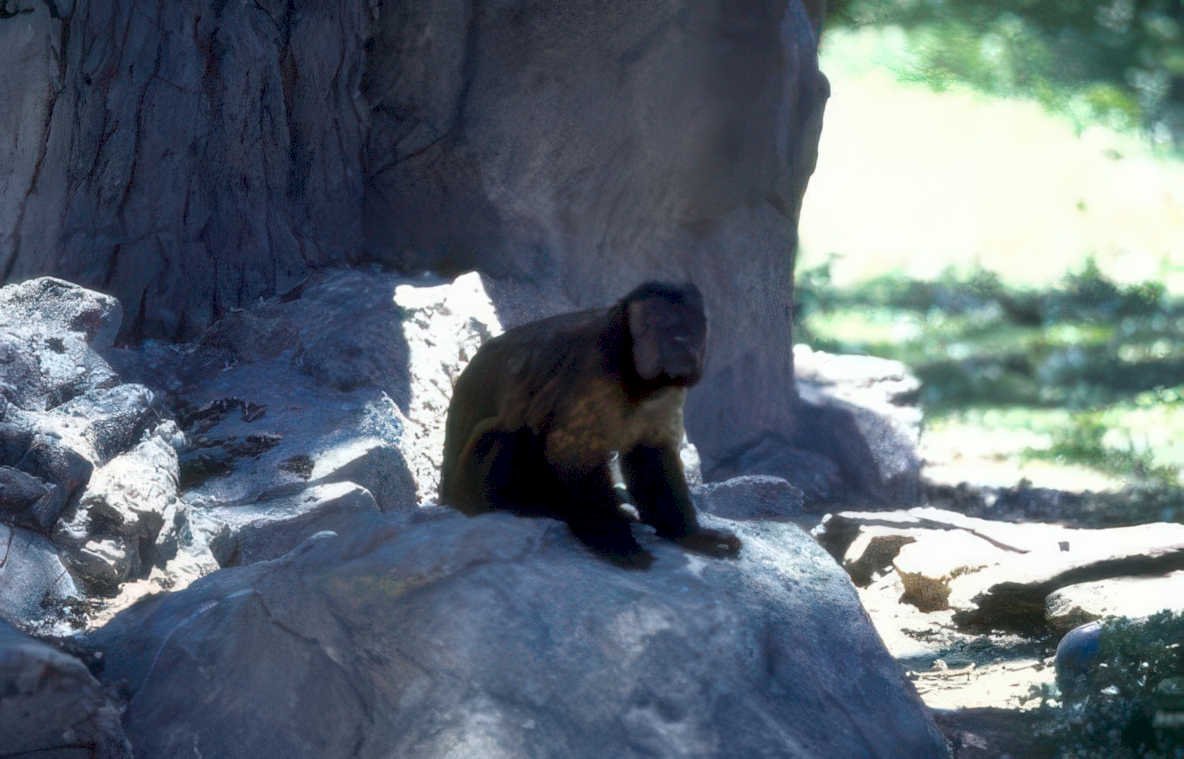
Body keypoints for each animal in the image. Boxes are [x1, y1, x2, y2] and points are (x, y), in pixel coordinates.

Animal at [439, 281, 741, 569]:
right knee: (508, 428)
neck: (632, 376)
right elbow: (574, 457)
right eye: (664, 325)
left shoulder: (668, 390)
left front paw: (689, 535)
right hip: (469, 490)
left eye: (691, 326)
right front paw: (616, 542)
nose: (681, 342)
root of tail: (447, 497)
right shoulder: (593, 371)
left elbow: (651, 453)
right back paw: (527, 504)